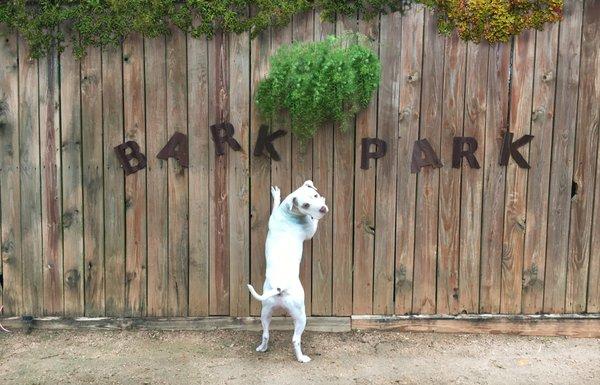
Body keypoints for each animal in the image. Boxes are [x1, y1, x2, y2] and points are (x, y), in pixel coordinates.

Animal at [248, 180, 332, 364]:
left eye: (314, 195)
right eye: (306, 205)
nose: (322, 209)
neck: (288, 213)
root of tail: (279, 288)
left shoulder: (273, 215)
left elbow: (274, 205)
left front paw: (276, 194)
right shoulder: (310, 231)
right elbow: (314, 224)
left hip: (265, 312)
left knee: (266, 333)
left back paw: (262, 348)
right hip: (300, 315)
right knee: (295, 339)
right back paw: (301, 358)